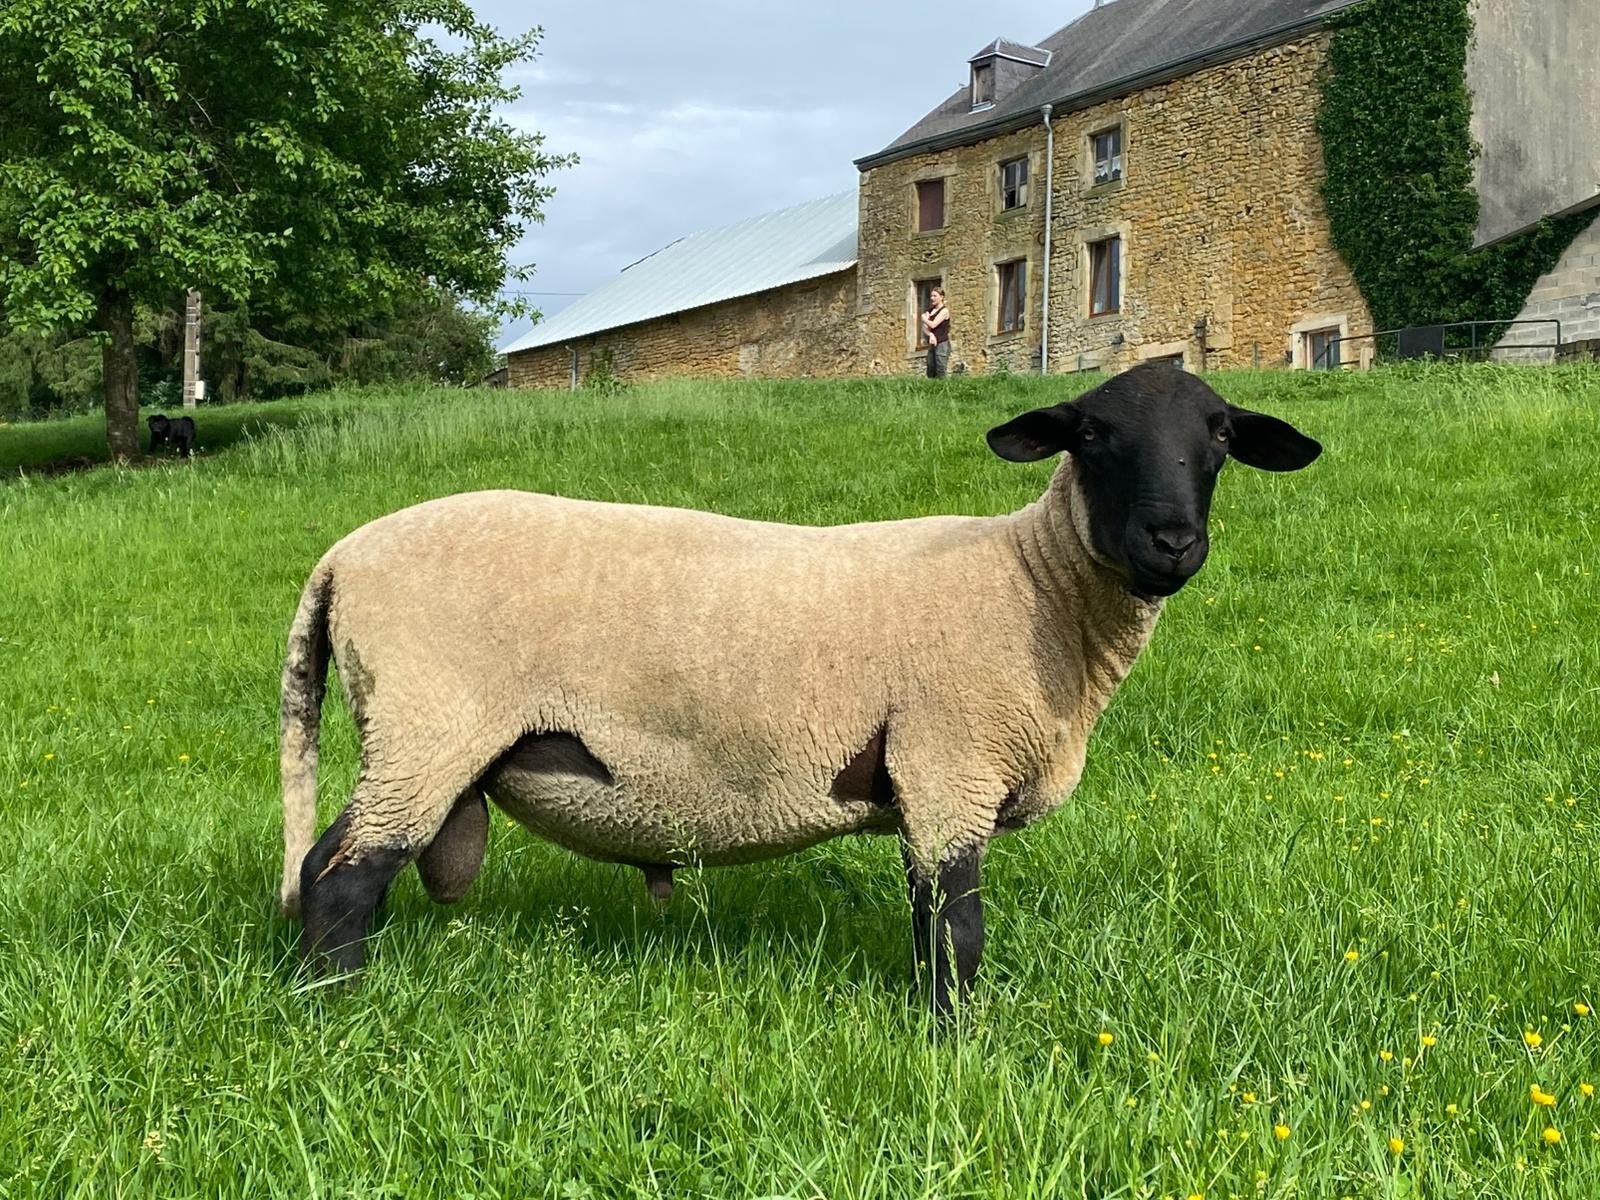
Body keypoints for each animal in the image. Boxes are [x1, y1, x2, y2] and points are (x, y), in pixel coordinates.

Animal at [278, 362, 1321, 1013]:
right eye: (1093, 434)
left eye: (1220, 436)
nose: (1172, 541)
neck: (1033, 588)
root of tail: (339, 557)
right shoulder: (947, 768)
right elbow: (955, 931)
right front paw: (954, 1047)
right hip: (429, 720)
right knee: (340, 877)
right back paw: (337, 1015)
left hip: (415, 732)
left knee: (339, 863)